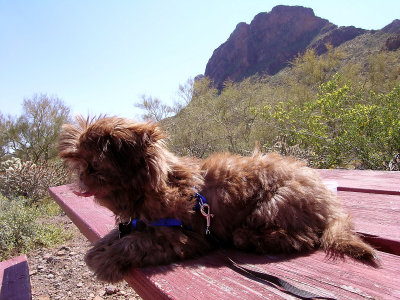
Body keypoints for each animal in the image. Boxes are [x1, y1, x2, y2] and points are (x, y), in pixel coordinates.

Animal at [58, 116, 378, 282]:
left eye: (94, 166)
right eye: (82, 165)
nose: (82, 178)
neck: (161, 182)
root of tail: (329, 202)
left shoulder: (182, 237)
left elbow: (134, 242)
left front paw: (106, 259)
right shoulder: (137, 223)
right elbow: (118, 233)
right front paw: (98, 248)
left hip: (274, 204)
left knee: (303, 237)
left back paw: (253, 239)